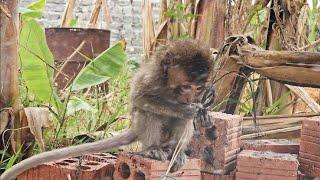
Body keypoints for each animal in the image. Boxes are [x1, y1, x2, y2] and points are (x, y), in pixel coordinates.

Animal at [1, 40, 215, 179]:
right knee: (147, 113)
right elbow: (141, 99)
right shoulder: (151, 77)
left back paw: (175, 151)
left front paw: (199, 111)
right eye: (186, 86)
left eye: (198, 88)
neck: (169, 85)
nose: (189, 98)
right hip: (143, 128)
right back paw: (152, 149)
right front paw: (188, 110)